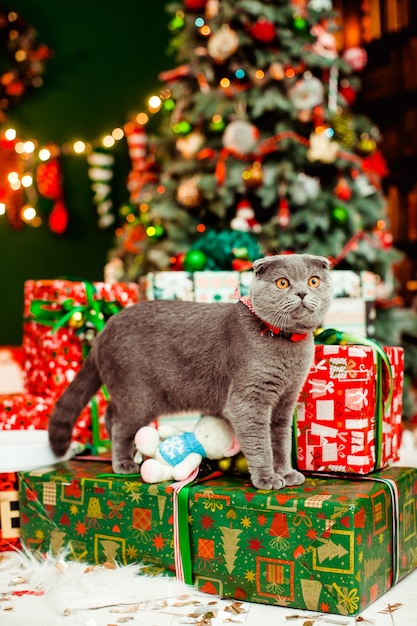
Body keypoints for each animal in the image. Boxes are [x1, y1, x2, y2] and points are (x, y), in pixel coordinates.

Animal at [48, 252, 332, 488]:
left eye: (313, 281)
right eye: (282, 283)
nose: (302, 293)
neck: (287, 344)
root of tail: (104, 329)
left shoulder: (285, 401)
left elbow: (280, 442)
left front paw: (286, 473)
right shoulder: (249, 401)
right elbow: (260, 442)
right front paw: (267, 478)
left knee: (110, 415)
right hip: (137, 395)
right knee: (119, 425)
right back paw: (124, 463)